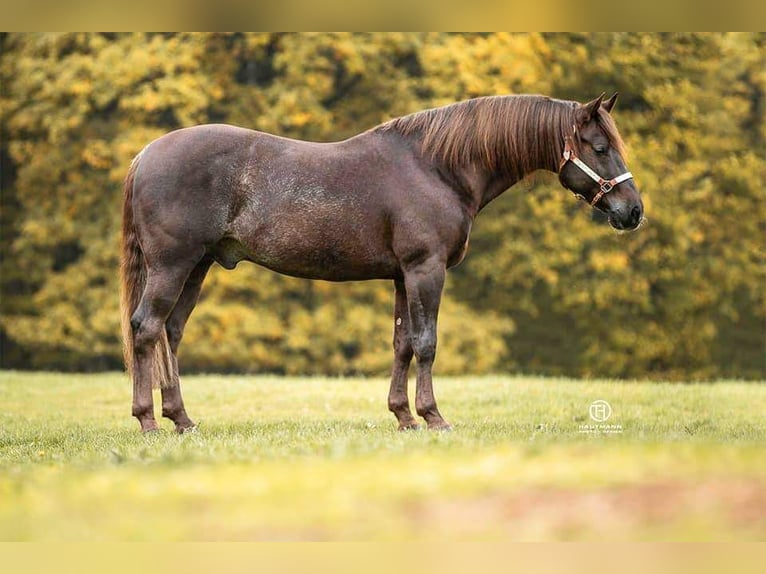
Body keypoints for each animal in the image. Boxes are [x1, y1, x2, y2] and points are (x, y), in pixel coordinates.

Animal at [120, 92, 643, 433]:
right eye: (600, 148)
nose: (633, 211)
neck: (437, 167)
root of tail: (145, 154)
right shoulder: (425, 269)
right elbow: (427, 343)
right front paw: (434, 417)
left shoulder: (401, 276)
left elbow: (402, 344)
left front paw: (403, 416)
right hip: (172, 265)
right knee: (146, 328)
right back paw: (147, 421)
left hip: (197, 267)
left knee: (170, 333)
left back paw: (182, 420)